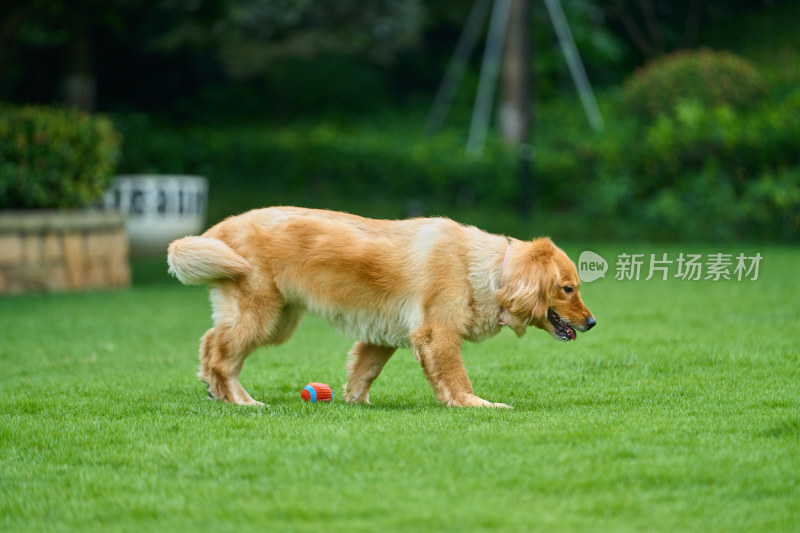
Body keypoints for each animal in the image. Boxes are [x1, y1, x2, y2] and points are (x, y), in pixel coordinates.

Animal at [167, 207, 592, 408]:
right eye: (568, 289)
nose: (592, 322)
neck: (488, 271)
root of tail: (220, 229)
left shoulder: (384, 334)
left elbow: (364, 371)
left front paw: (356, 403)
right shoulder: (438, 333)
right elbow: (457, 379)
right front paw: (477, 404)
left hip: (276, 318)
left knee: (210, 342)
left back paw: (214, 390)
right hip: (264, 316)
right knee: (222, 356)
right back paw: (242, 401)